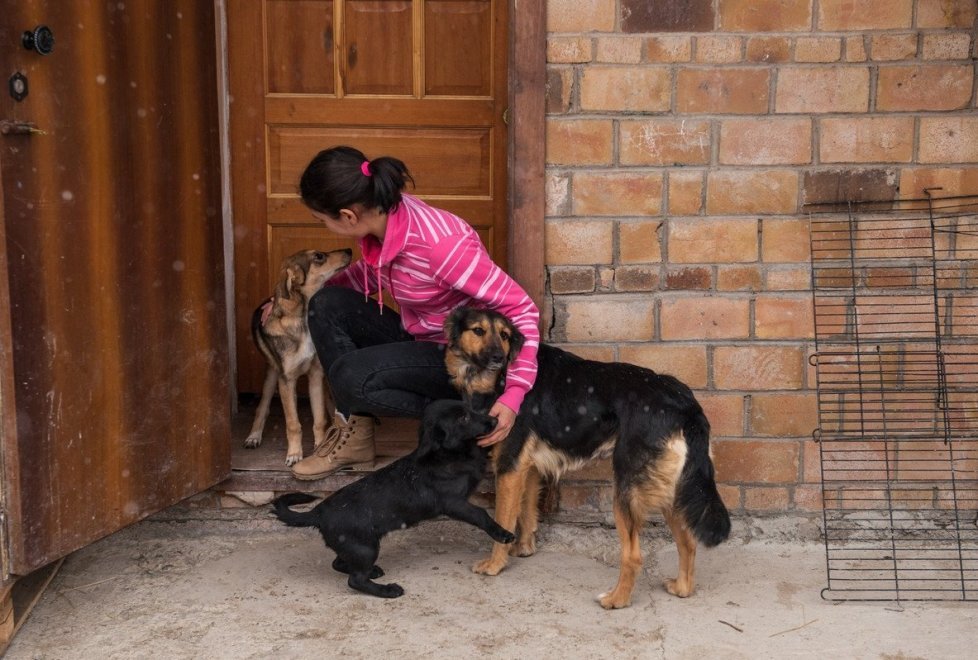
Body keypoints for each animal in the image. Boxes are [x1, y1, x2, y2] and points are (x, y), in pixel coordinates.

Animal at [246, 248, 352, 464]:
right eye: (319, 256)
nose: (350, 250)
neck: (302, 319)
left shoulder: (316, 375)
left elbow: (319, 418)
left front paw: (320, 446)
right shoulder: (286, 380)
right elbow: (293, 423)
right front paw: (294, 454)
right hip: (273, 376)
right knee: (263, 407)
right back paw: (253, 436)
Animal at [272, 398, 520, 600]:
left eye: (470, 410)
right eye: (464, 418)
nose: (495, 420)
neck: (445, 455)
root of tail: (318, 512)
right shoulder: (454, 503)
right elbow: (481, 514)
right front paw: (503, 534)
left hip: (355, 547)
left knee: (339, 563)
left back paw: (373, 572)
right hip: (365, 547)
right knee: (355, 580)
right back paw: (387, 590)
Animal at [446, 306, 728, 612]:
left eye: (505, 335)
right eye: (478, 331)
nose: (498, 357)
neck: (503, 375)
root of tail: (686, 404)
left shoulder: (509, 466)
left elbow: (503, 519)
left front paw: (496, 563)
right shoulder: (527, 468)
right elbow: (527, 512)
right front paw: (524, 548)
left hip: (627, 490)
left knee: (633, 555)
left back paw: (616, 600)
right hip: (669, 486)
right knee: (687, 541)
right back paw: (682, 588)